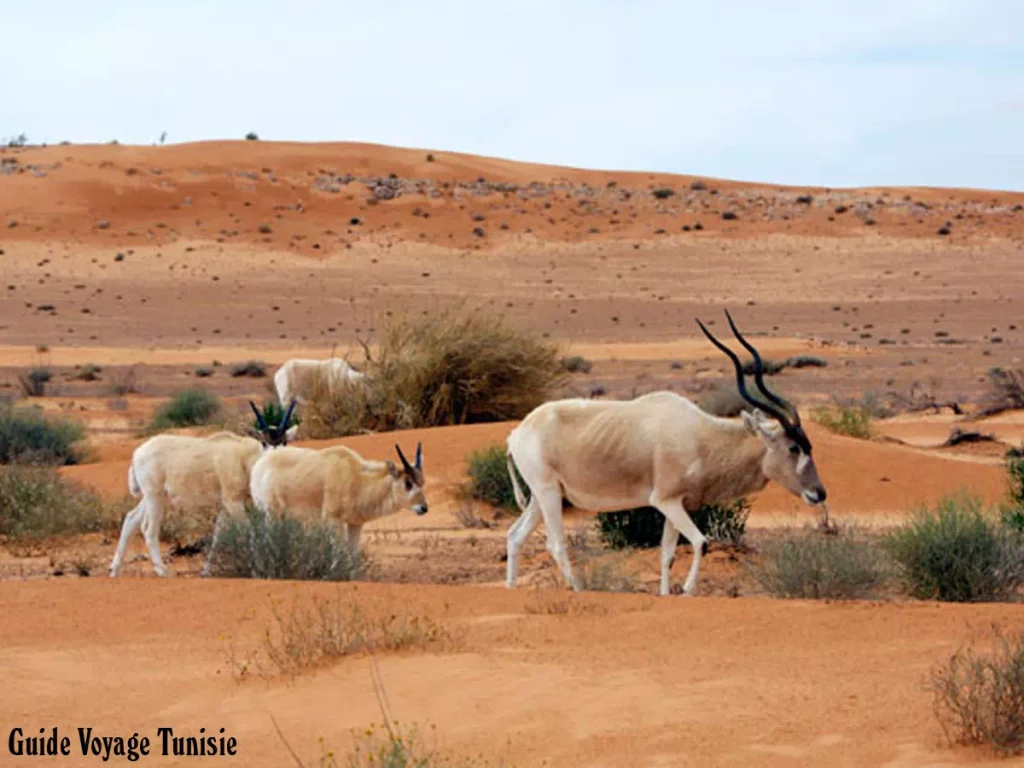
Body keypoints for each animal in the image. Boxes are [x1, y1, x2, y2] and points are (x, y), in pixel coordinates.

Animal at [110, 403, 299, 577]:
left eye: (284, 441)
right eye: (264, 442)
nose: (275, 459)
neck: (243, 456)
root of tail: (137, 453)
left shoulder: (225, 505)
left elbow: (217, 535)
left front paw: (206, 571)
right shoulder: (233, 501)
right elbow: (249, 531)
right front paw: (258, 570)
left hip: (154, 497)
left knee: (130, 519)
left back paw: (114, 571)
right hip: (154, 497)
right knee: (149, 530)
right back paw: (163, 572)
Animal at [251, 438, 428, 561]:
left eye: (422, 481)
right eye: (408, 482)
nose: (423, 508)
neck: (357, 477)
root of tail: (261, 464)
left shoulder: (355, 524)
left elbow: (353, 554)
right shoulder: (333, 520)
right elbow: (338, 552)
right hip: (272, 513)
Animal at [505, 311, 831, 593]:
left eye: (808, 445)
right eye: (793, 447)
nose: (819, 493)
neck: (700, 437)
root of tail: (517, 434)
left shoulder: (677, 504)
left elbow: (667, 554)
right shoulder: (665, 501)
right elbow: (701, 543)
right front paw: (686, 591)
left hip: (543, 496)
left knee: (514, 536)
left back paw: (512, 588)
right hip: (548, 493)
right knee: (555, 544)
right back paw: (579, 590)